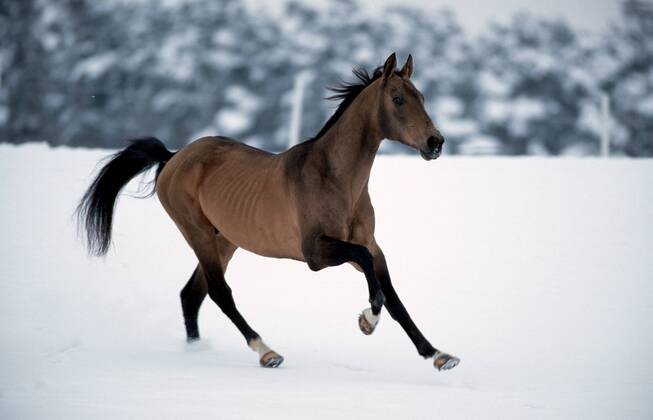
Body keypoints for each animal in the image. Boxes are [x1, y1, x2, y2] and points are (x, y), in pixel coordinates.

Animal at [78, 53, 460, 372]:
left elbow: (393, 296)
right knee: (218, 293)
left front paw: (438, 355)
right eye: (397, 99)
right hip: (197, 233)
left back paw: (197, 350)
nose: (435, 143)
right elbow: (372, 279)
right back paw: (267, 352)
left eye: (422, 97)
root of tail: (173, 157)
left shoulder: (371, 245)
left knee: (191, 294)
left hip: (224, 240)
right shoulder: (316, 253)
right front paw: (367, 320)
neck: (334, 178)